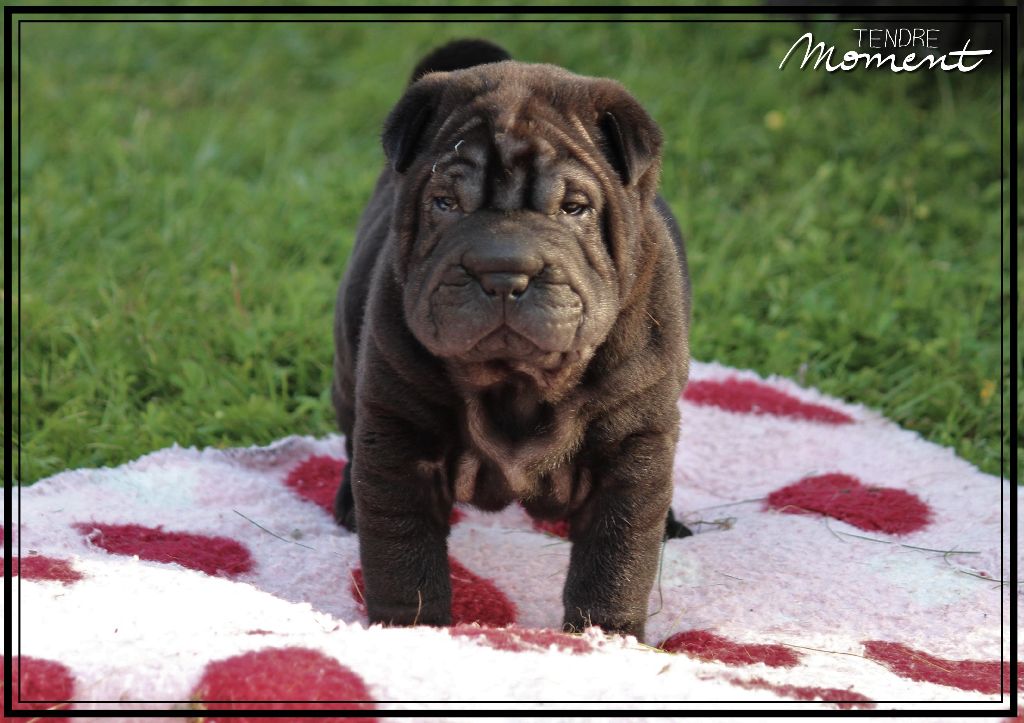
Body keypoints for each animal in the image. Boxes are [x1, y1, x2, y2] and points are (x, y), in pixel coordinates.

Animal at [331, 39, 692, 640]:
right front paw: (409, 631)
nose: (502, 271)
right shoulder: (399, 435)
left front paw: (607, 636)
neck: (518, 382)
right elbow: (403, 551)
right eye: (445, 203)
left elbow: (617, 556)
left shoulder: (633, 447)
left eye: (574, 208)